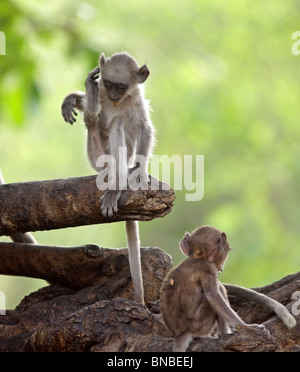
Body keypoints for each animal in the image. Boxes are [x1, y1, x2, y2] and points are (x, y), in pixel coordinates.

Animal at [61, 51, 155, 306]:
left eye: (120, 87)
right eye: (109, 84)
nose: (112, 95)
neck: (117, 101)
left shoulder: (136, 100)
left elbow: (144, 127)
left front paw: (140, 170)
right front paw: (75, 97)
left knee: (118, 124)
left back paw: (119, 180)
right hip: (97, 156)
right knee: (97, 122)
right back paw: (92, 107)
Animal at [159, 227, 296, 352]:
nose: (222, 267)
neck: (197, 258)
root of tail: (181, 333)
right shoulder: (208, 268)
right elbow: (212, 294)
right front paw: (245, 326)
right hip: (199, 324)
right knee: (218, 291)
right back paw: (224, 334)